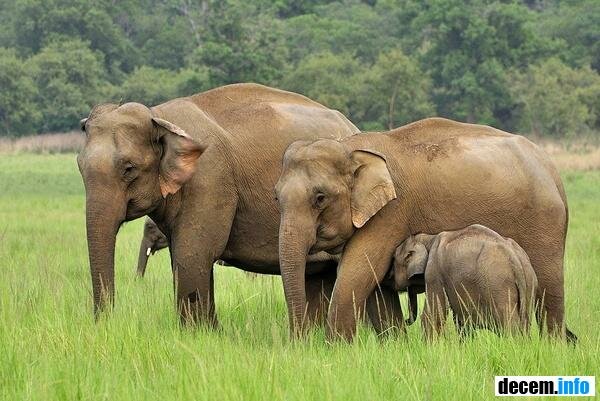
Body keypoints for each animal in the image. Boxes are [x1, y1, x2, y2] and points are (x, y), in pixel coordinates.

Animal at [78, 83, 366, 326]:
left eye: (129, 169)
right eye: (79, 166)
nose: (105, 324)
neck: (159, 116)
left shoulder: (209, 179)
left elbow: (192, 254)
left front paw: (200, 333)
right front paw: (210, 332)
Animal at [390, 223, 540, 336]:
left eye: (393, 260)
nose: (404, 320)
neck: (428, 238)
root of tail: (515, 258)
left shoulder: (434, 272)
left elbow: (433, 315)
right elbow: (462, 321)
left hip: (499, 285)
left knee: (509, 324)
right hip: (530, 284)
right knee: (525, 323)